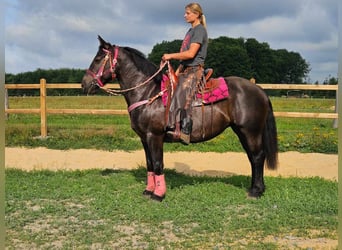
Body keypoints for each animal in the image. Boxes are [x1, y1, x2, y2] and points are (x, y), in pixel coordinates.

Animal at [83, 35, 278, 201]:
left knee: (258, 156)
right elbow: (149, 164)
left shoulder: (155, 136)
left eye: (98, 59)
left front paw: (158, 194)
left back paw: (256, 191)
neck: (148, 92)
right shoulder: (144, 138)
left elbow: (158, 163)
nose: (84, 84)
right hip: (242, 131)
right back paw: (255, 188)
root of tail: (259, 90)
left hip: (250, 131)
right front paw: (148, 190)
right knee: (252, 157)